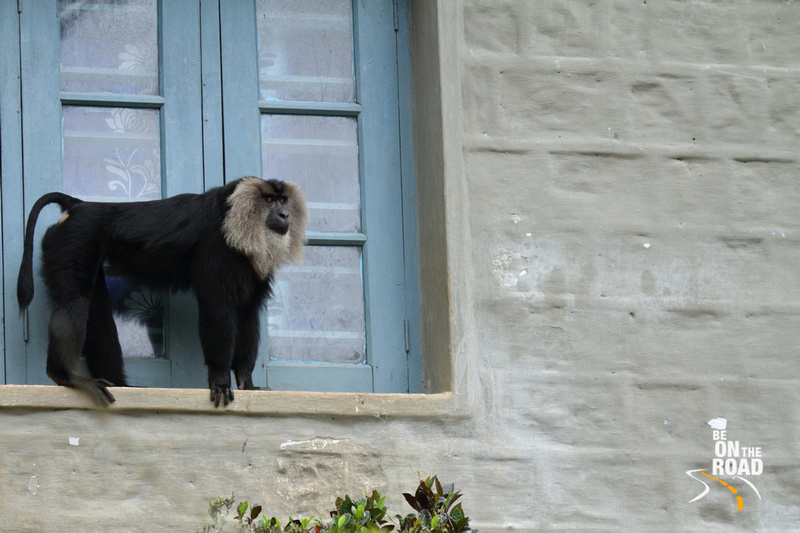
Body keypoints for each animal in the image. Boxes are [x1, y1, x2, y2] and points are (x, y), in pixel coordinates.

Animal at [16, 177, 310, 406]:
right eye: (269, 199)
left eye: (282, 200)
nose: (284, 215)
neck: (234, 216)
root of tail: (79, 206)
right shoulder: (217, 248)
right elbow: (218, 307)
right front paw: (220, 380)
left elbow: (247, 313)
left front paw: (248, 384)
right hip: (75, 238)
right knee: (75, 300)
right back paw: (66, 377)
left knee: (95, 309)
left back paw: (118, 385)